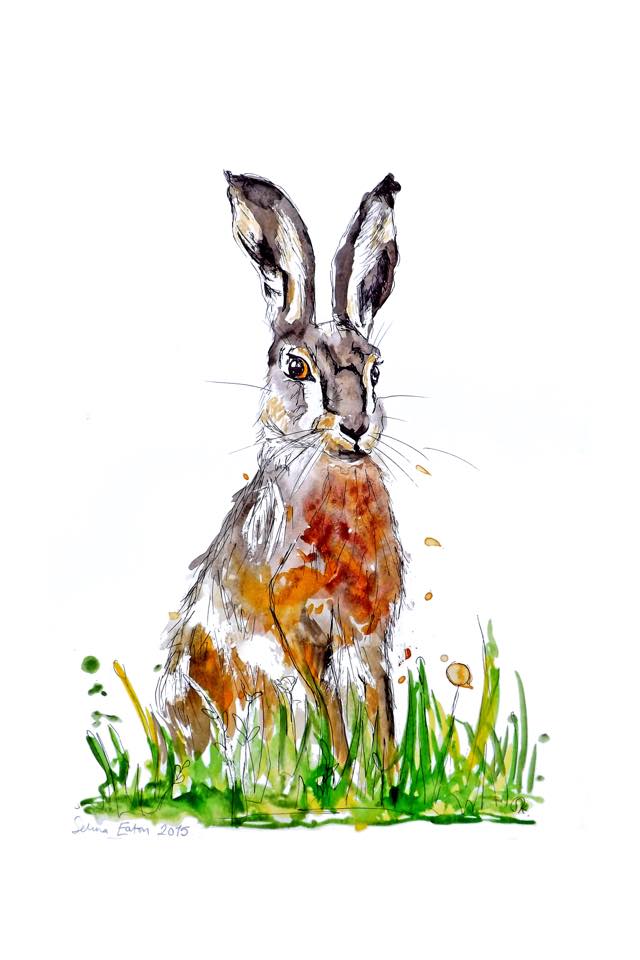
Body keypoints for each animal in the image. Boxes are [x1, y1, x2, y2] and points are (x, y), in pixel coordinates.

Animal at [156, 171, 406, 762]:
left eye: (376, 371)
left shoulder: (368, 631)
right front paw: (342, 769)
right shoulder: (293, 622)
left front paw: (384, 776)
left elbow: (379, 705)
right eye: (296, 368)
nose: (355, 426)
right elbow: (329, 706)